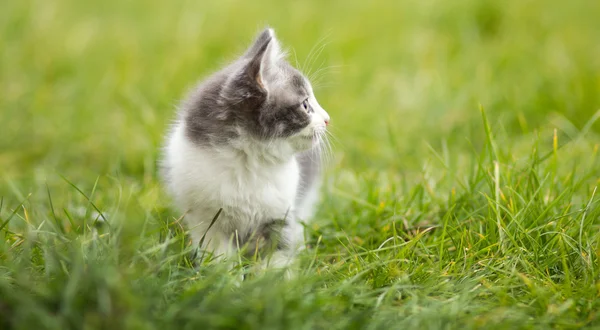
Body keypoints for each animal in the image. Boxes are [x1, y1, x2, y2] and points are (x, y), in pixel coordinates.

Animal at [162, 28, 330, 270]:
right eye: (306, 105)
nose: (327, 119)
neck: (251, 160)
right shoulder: (205, 217)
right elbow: (217, 253)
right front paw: (223, 275)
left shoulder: (280, 214)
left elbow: (277, 251)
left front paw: (273, 276)